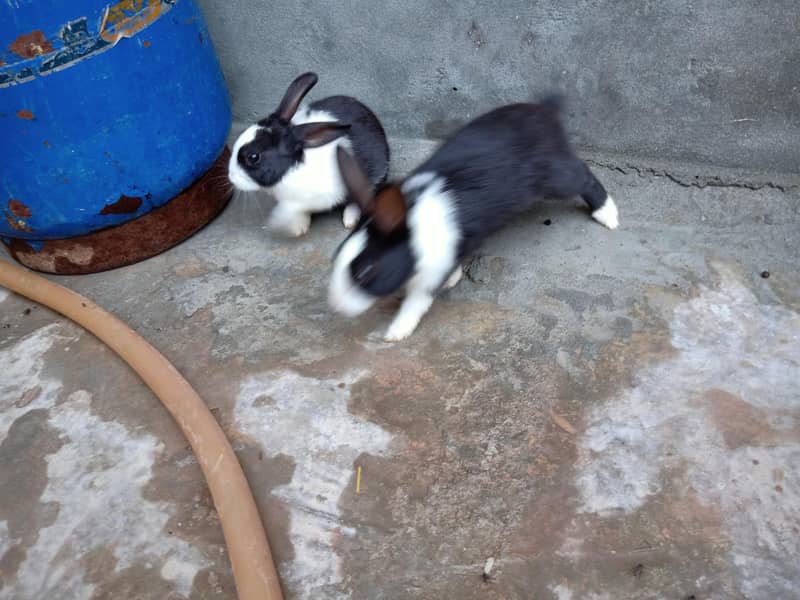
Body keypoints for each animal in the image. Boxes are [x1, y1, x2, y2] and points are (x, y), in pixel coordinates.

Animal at [329, 97, 619, 341]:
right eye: (336, 257)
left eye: (366, 272)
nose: (337, 306)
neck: (415, 232)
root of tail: (544, 110)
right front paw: (454, 277)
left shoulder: (429, 275)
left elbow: (416, 303)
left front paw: (397, 331)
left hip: (554, 177)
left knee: (583, 177)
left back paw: (608, 215)